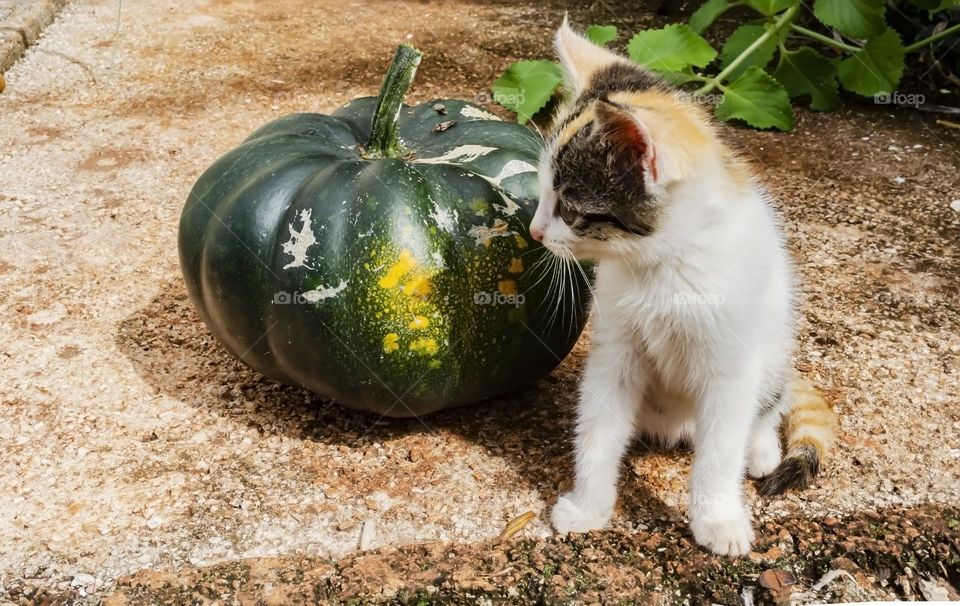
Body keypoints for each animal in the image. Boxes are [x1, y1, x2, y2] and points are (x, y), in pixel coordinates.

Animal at [528, 21, 836, 560]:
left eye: (567, 208)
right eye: (544, 193)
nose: (535, 231)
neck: (661, 265)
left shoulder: (732, 366)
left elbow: (720, 453)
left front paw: (718, 520)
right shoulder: (613, 350)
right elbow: (598, 428)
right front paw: (588, 507)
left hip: (774, 343)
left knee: (766, 407)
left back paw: (761, 449)